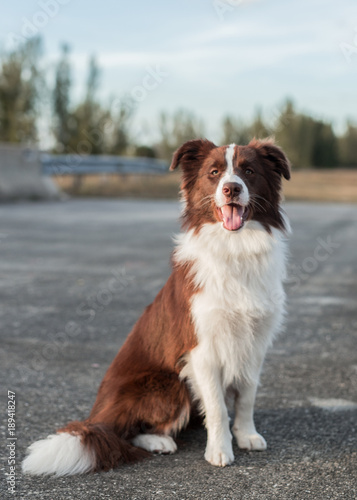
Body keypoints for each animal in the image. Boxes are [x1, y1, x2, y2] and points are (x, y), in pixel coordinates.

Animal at [21, 138, 290, 476]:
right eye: (214, 173)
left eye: (249, 171)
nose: (231, 189)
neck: (235, 247)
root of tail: (98, 416)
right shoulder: (201, 349)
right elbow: (216, 406)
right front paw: (219, 449)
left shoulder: (255, 341)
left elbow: (247, 395)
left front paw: (246, 435)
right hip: (168, 384)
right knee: (126, 431)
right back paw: (159, 441)